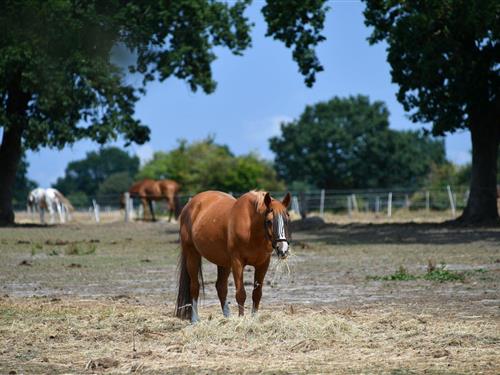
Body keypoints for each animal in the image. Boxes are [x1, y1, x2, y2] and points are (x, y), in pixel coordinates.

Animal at [176, 191, 292, 324]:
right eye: (269, 221)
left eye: (287, 220)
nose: (282, 249)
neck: (251, 228)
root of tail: (190, 204)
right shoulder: (237, 263)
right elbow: (241, 293)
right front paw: (241, 319)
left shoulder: (262, 264)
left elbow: (257, 293)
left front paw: (254, 319)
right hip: (192, 254)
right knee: (195, 286)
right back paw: (195, 319)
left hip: (223, 262)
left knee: (221, 287)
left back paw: (227, 317)